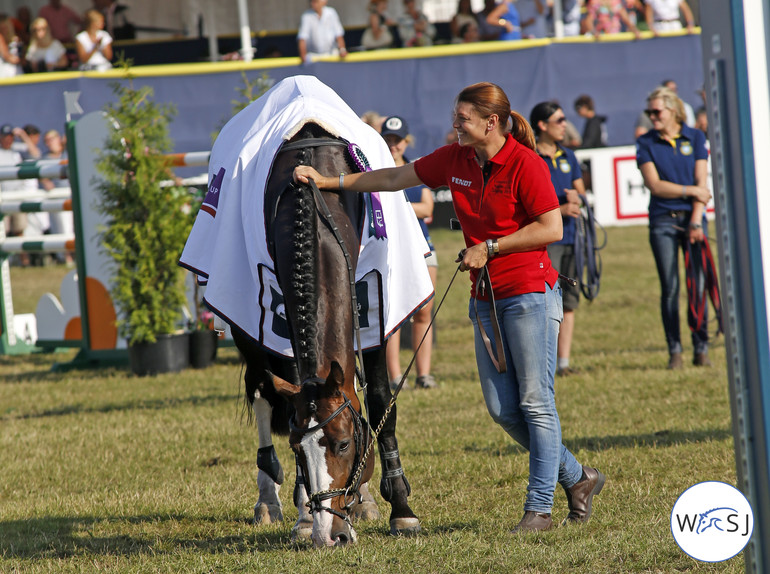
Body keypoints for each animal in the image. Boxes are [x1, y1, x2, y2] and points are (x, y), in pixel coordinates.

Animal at [231, 122, 416, 548]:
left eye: (344, 443)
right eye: (297, 449)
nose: (330, 535)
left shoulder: (374, 311)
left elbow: (380, 401)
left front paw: (400, 508)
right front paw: (303, 516)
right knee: (262, 391)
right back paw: (271, 500)